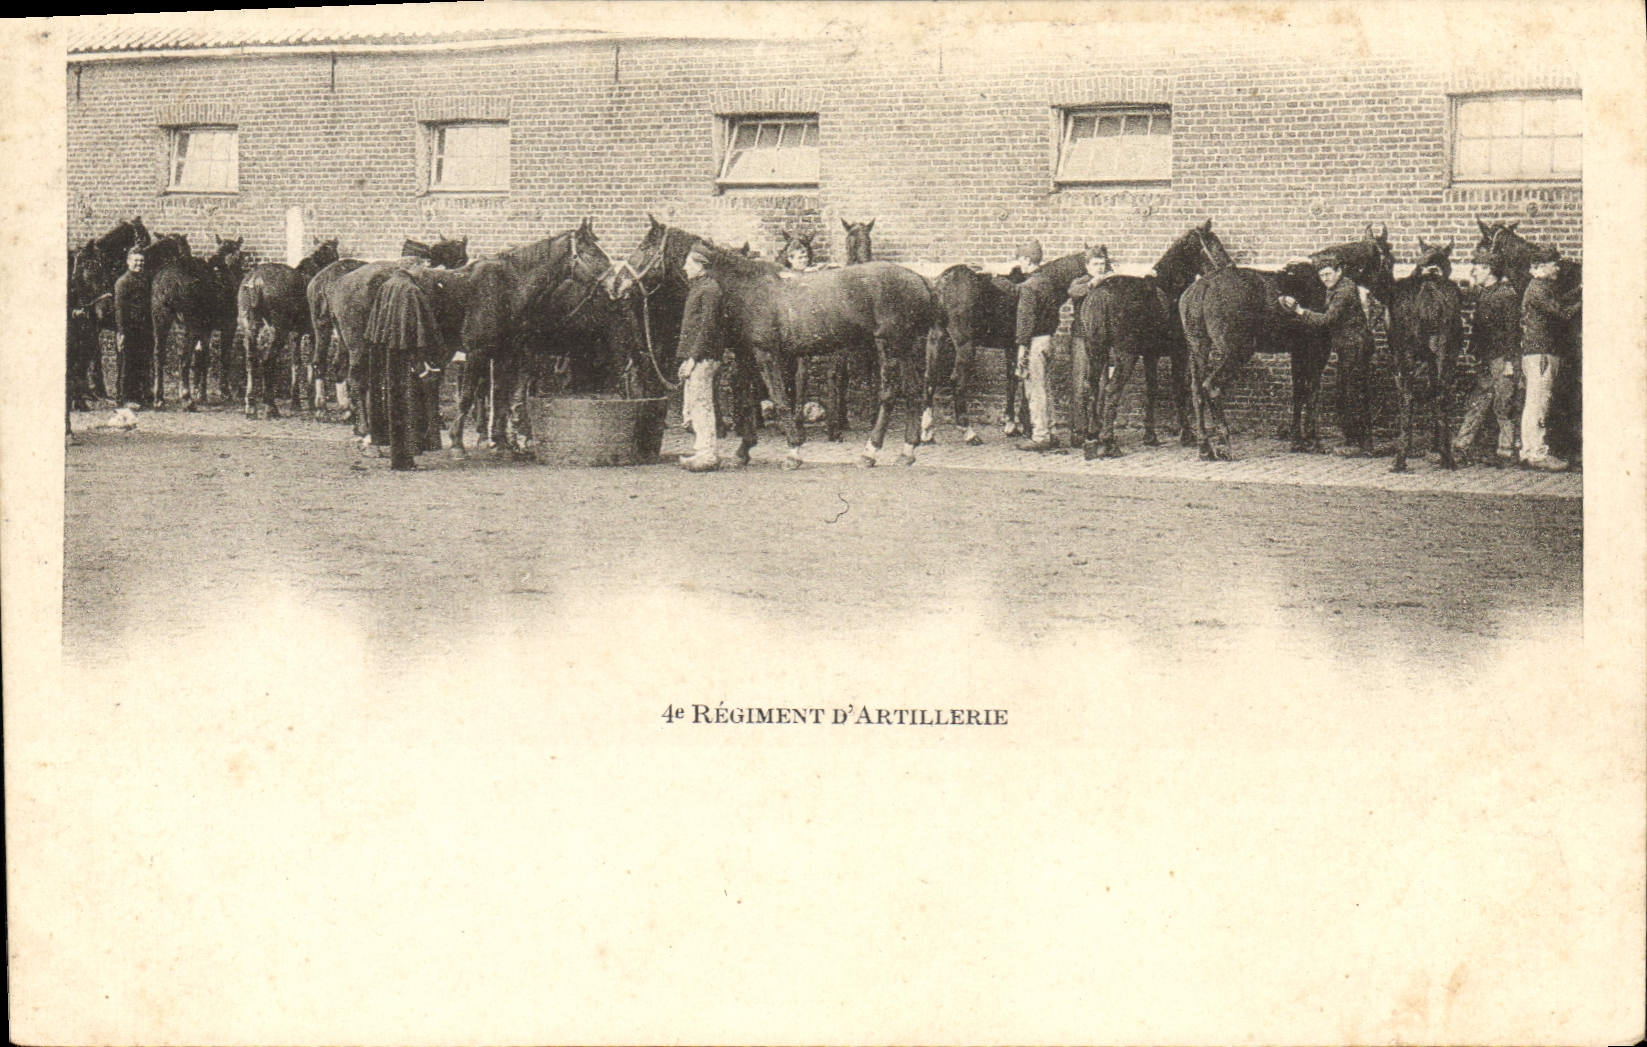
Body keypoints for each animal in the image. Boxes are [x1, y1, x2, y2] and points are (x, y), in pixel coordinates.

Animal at [236, 238, 341, 417]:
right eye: (335, 254)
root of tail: (255, 280)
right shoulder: (311, 332)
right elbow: (310, 363)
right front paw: (312, 402)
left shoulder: (295, 335)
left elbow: (296, 363)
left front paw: (296, 402)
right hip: (278, 330)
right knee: (267, 360)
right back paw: (270, 406)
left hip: (249, 326)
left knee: (251, 360)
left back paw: (251, 405)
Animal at [671, 239, 939, 469]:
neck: (748, 289)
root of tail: (920, 280)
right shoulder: (745, 354)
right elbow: (745, 400)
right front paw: (743, 450)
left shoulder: (766, 353)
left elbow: (779, 399)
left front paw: (793, 452)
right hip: (905, 348)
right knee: (914, 392)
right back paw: (907, 451)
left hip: (888, 345)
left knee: (889, 395)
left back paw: (869, 453)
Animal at [1386, 239, 1464, 473]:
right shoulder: (1434, 356)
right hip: (1446, 351)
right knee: (1441, 394)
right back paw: (1448, 458)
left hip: (1408, 352)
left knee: (1408, 396)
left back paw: (1400, 460)